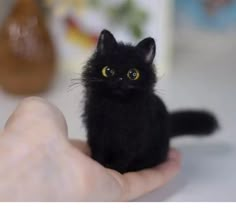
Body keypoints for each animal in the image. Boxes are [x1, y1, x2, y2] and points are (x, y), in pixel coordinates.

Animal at [82, 28, 218, 172]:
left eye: (133, 74)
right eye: (108, 71)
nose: (119, 79)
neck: (116, 106)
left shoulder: (133, 139)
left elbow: (123, 158)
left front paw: (115, 170)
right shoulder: (96, 132)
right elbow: (98, 153)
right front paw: (100, 166)